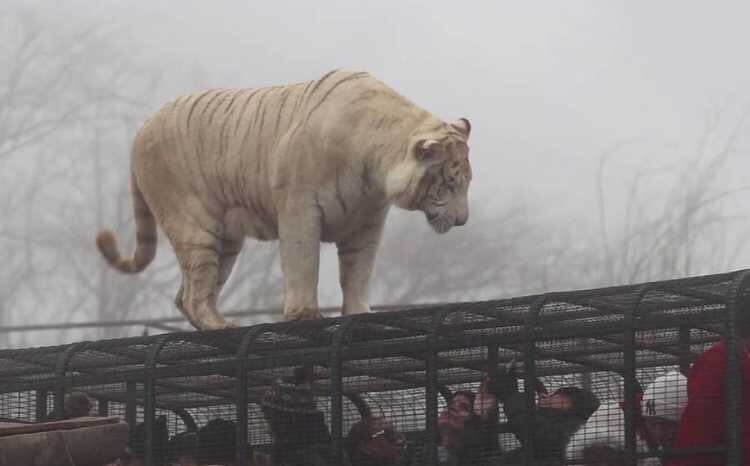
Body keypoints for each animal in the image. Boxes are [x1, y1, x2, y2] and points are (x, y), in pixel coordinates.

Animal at [97, 69, 472, 332]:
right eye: (449, 184)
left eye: (466, 182)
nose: (463, 221)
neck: (376, 163)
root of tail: (140, 130)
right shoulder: (300, 207)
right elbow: (303, 262)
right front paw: (304, 315)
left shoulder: (367, 223)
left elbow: (358, 271)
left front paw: (359, 312)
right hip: (195, 223)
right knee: (193, 293)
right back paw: (222, 325)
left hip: (226, 240)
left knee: (185, 296)